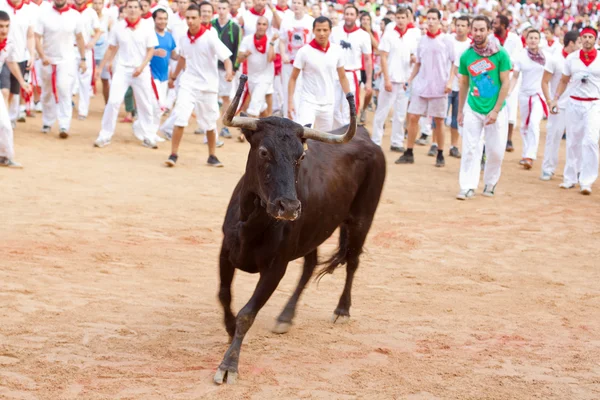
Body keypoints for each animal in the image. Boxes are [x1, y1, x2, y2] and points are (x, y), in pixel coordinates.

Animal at [213, 75, 386, 384]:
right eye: (264, 152)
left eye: (300, 157)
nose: (290, 207)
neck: (252, 222)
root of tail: (367, 138)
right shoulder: (225, 252)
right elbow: (224, 295)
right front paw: (230, 329)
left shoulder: (275, 268)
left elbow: (247, 313)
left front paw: (228, 365)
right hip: (314, 232)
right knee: (310, 265)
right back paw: (286, 316)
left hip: (362, 219)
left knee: (353, 261)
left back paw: (342, 310)